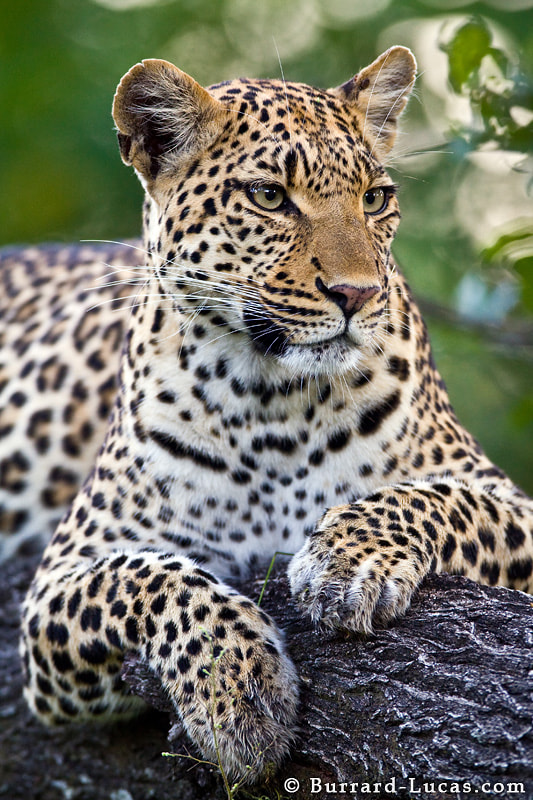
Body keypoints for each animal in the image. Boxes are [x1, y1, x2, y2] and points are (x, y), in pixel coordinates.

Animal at [4, 47, 532, 784]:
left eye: (374, 200)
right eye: (269, 197)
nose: (357, 294)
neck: (274, 400)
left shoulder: (502, 497)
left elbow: (436, 498)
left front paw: (347, 561)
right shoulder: (61, 583)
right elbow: (150, 581)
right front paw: (239, 693)